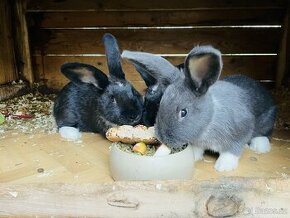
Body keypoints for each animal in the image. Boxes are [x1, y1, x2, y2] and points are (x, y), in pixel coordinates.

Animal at [122, 46, 276, 172]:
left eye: (183, 112)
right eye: (161, 104)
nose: (163, 139)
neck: (210, 119)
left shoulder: (241, 131)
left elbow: (231, 151)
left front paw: (223, 167)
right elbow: (197, 149)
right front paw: (195, 156)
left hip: (266, 121)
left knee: (262, 134)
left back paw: (260, 147)